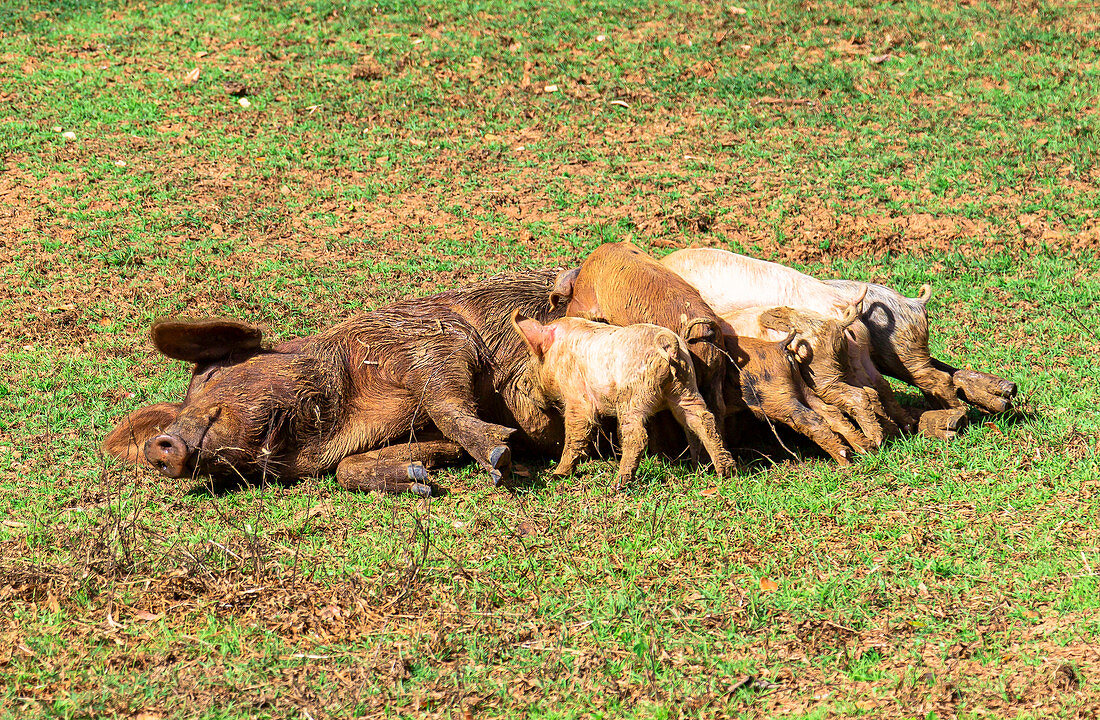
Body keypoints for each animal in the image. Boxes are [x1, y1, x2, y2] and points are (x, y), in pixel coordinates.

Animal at [510, 314, 734, 488]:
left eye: (532, 356)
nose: (521, 384)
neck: (558, 354)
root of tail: (668, 344)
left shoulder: (576, 395)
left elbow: (577, 432)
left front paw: (557, 474)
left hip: (633, 396)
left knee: (637, 436)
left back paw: (619, 483)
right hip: (686, 386)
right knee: (702, 420)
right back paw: (720, 471)